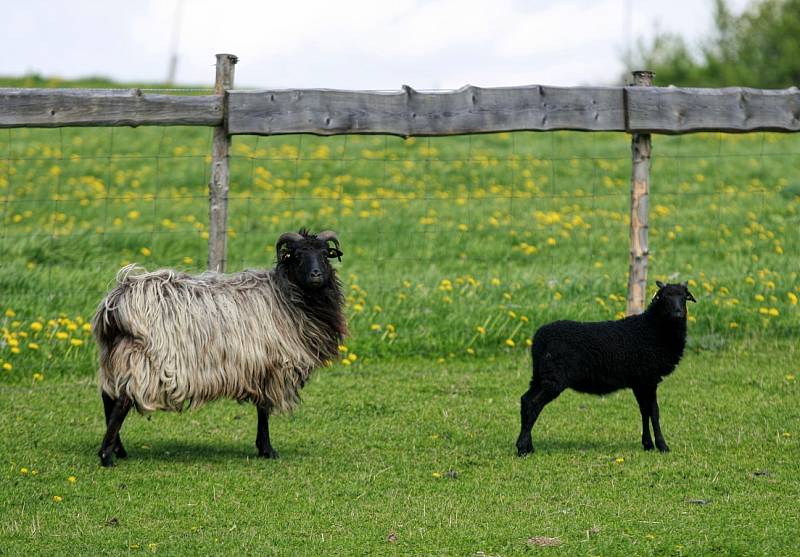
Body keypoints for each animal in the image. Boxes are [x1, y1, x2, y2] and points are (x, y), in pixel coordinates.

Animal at [92, 228, 346, 466]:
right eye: (297, 256)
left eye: (325, 254)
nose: (316, 274)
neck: (285, 295)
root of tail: (116, 303)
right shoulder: (271, 364)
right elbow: (264, 409)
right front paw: (268, 450)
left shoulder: (260, 366)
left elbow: (261, 408)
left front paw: (263, 447)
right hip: (146, 360)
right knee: (122, 400)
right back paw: (107, 456)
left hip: (113, 355)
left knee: (108, 397)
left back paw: (118, 450)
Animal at [520, 280, 692, 454]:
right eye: (664, 297)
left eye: (684, 297)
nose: (678, 313)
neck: (653, 329)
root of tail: (539, 339)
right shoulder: (649, 379)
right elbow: (654, 412)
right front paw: (662, 445)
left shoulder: (640, 382)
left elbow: (644, 411)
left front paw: (648, 444)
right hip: (554, 378)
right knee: (533, 405)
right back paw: (523, 449)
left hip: (541, 376)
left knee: (525, 401)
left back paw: (526, 446)